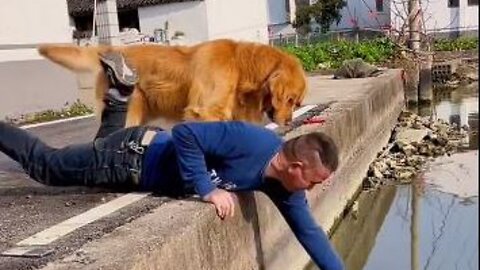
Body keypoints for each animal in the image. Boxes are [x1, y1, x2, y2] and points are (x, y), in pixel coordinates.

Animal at [38, 38, 308, 126]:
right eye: (290, 99)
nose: (289, 122)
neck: (239, 63)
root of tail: (111, 50)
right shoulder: (204, 110)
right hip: (130, 110)